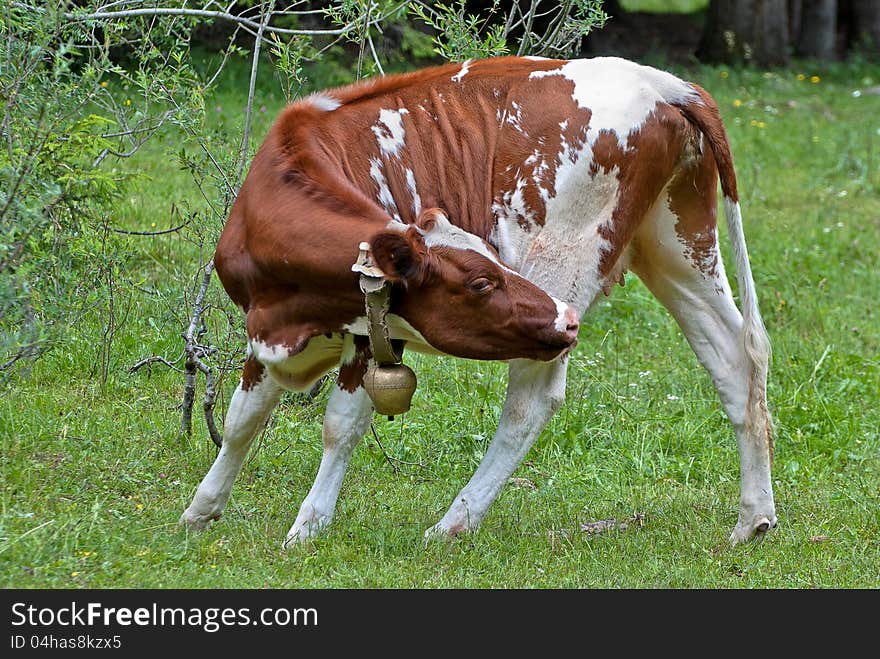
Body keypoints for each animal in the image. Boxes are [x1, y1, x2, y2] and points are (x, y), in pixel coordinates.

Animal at [180, 55, 776, 548]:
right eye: (482, 281)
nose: (566, 319)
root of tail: (663, 82)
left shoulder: (374, 329)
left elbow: (340, 424)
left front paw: (308, 525)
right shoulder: (265, 330)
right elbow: (242, 418)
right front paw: (201, 510)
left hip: (563, 262)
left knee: (531, 399)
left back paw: (454, 522)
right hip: (676, 242)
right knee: (736, 360)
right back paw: (753, 519)